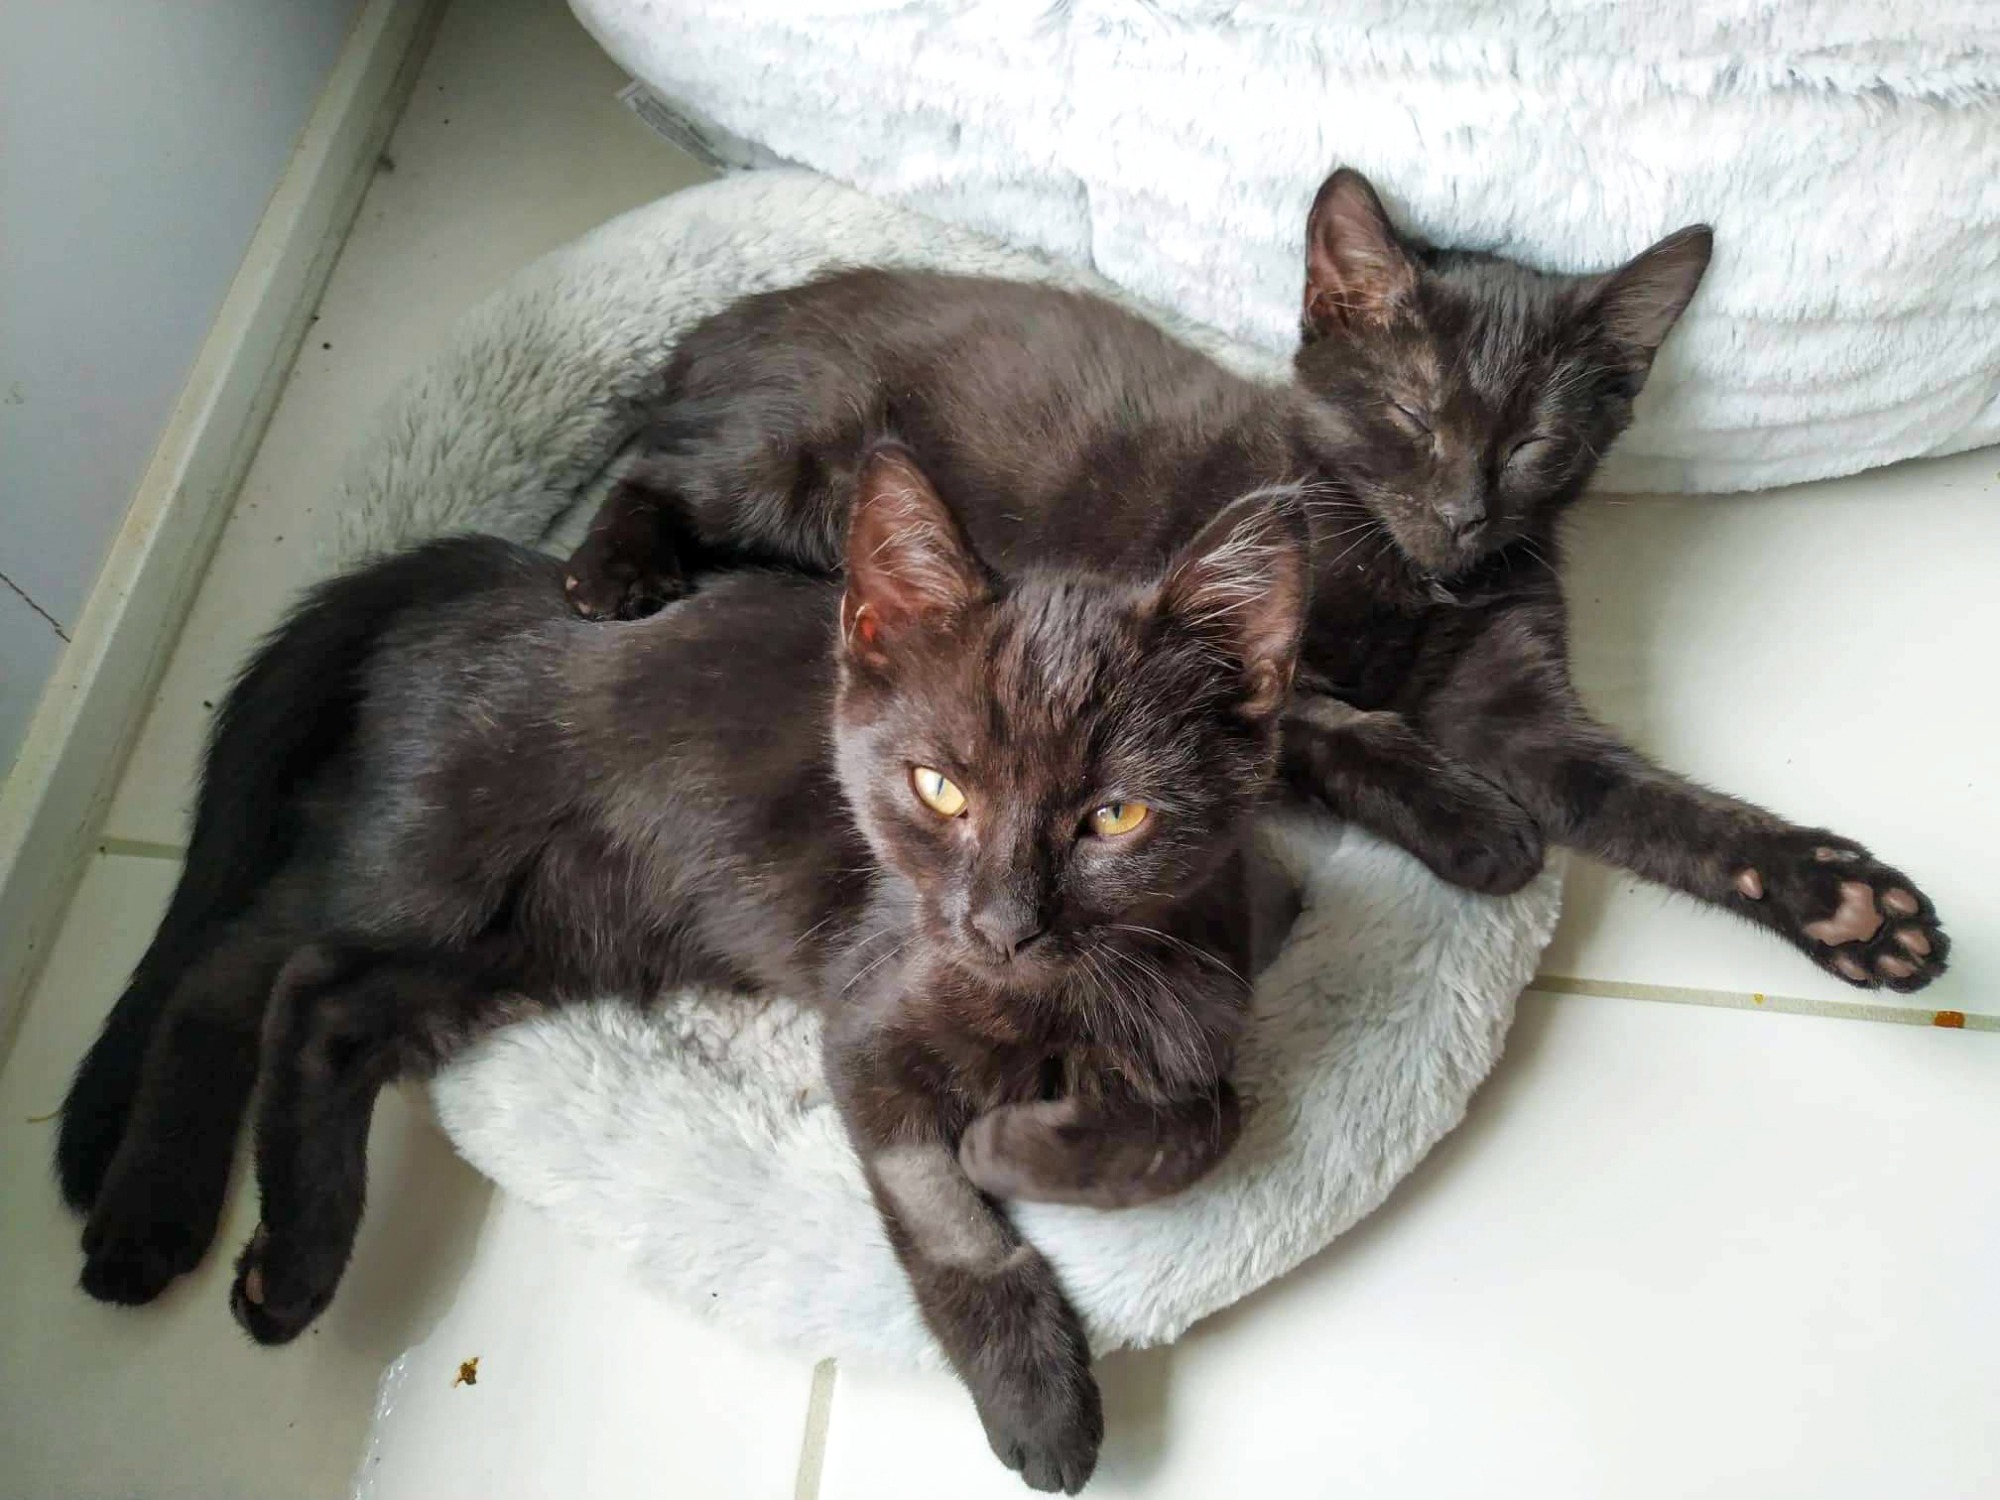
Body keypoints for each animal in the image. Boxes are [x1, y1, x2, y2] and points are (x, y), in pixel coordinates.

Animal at [57, 444, 1311, 1495]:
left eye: (1115, 818)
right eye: (939, 789)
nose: (999, 923)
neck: (1048, 998)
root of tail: (490, 573)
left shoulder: (1236, 949)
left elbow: (1204, 1119)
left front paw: (1038, 1135)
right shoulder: (869, 1025)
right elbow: (945, 1209)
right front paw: (1033, 1378)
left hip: (533, 942)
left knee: (318, 1002)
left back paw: (270, 1253)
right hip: (428, 869)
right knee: (254, 970)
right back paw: (169, 1223)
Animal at [562, 167, 1946, 993]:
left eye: (1532, 444)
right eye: (1408, 411)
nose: (1462, 514)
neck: (1404, 574)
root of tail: (724, 320)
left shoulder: (1516, 701)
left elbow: (1643, 801)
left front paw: (1837, 899)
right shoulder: (1218, 660)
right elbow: (1343, 726)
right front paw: (1476, 827)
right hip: (790, 458)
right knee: (655, 468)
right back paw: (613, 571)